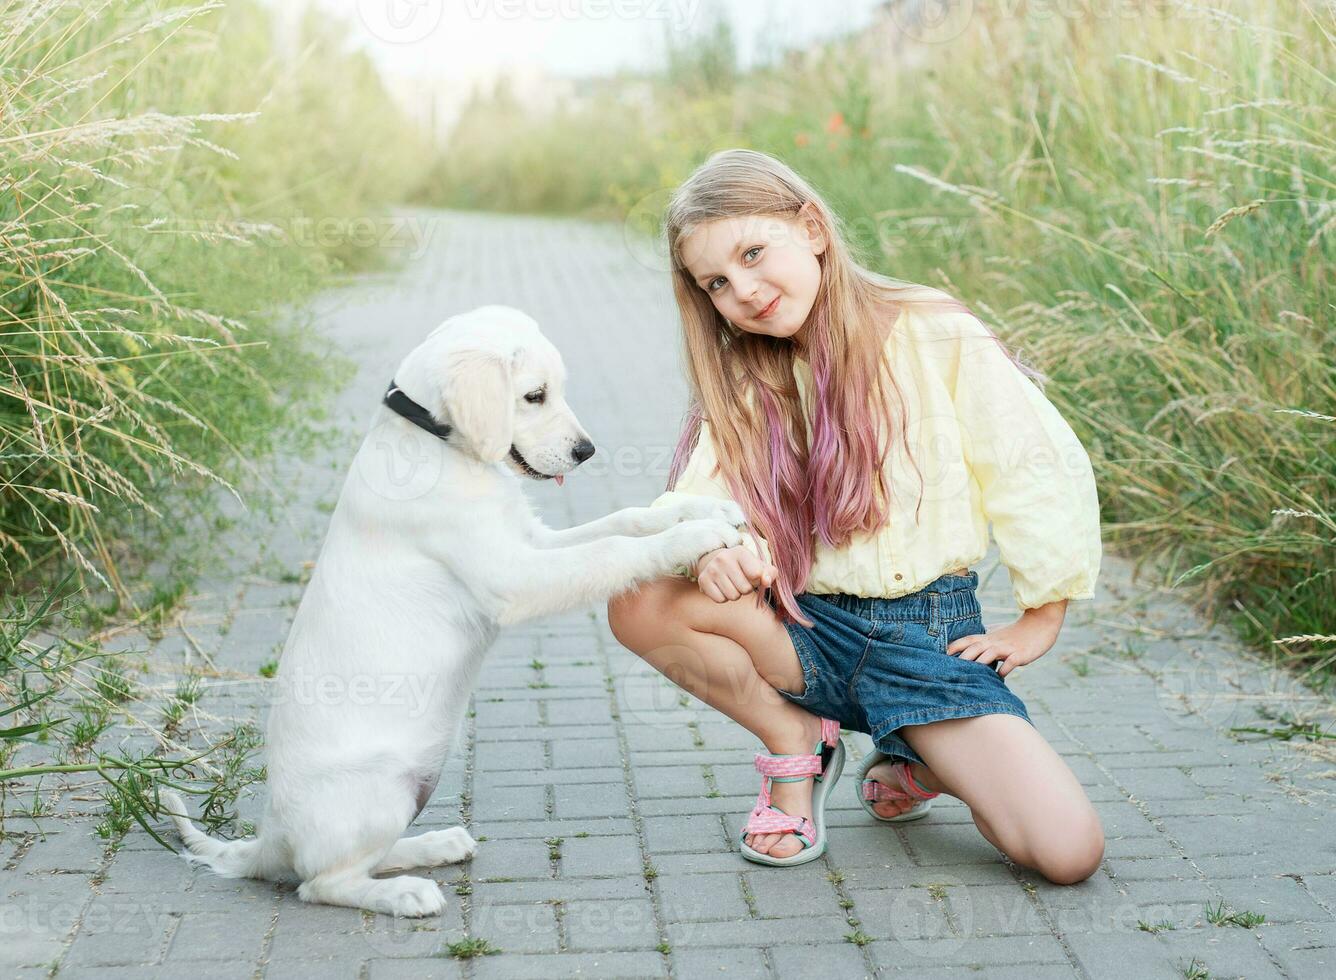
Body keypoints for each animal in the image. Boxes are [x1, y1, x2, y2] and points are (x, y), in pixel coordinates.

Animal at [161, 307, 748, 918]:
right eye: (534, 395)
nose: (587, 451)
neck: (438, 445)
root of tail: (270, 836)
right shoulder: (516, 577)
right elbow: (612, 550)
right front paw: (696, 537)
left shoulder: (532, 542)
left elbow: (625, 520)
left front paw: (701, 510)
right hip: (378, 791)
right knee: (319, 882)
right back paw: (406, 892)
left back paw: (436, 845)